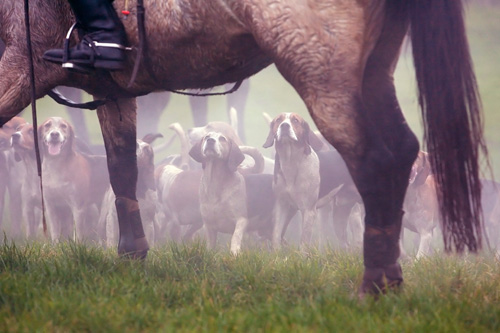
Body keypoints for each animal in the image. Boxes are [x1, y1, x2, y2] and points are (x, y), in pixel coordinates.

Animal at [0, 0, 484, 296]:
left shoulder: (19, 63)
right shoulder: (112, 90)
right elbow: (123, 171)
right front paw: (132, 256)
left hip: (321, 71)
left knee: (375, 160)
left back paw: (373, 286)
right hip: (373, 70)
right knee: (402, 152)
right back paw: (390, 279)